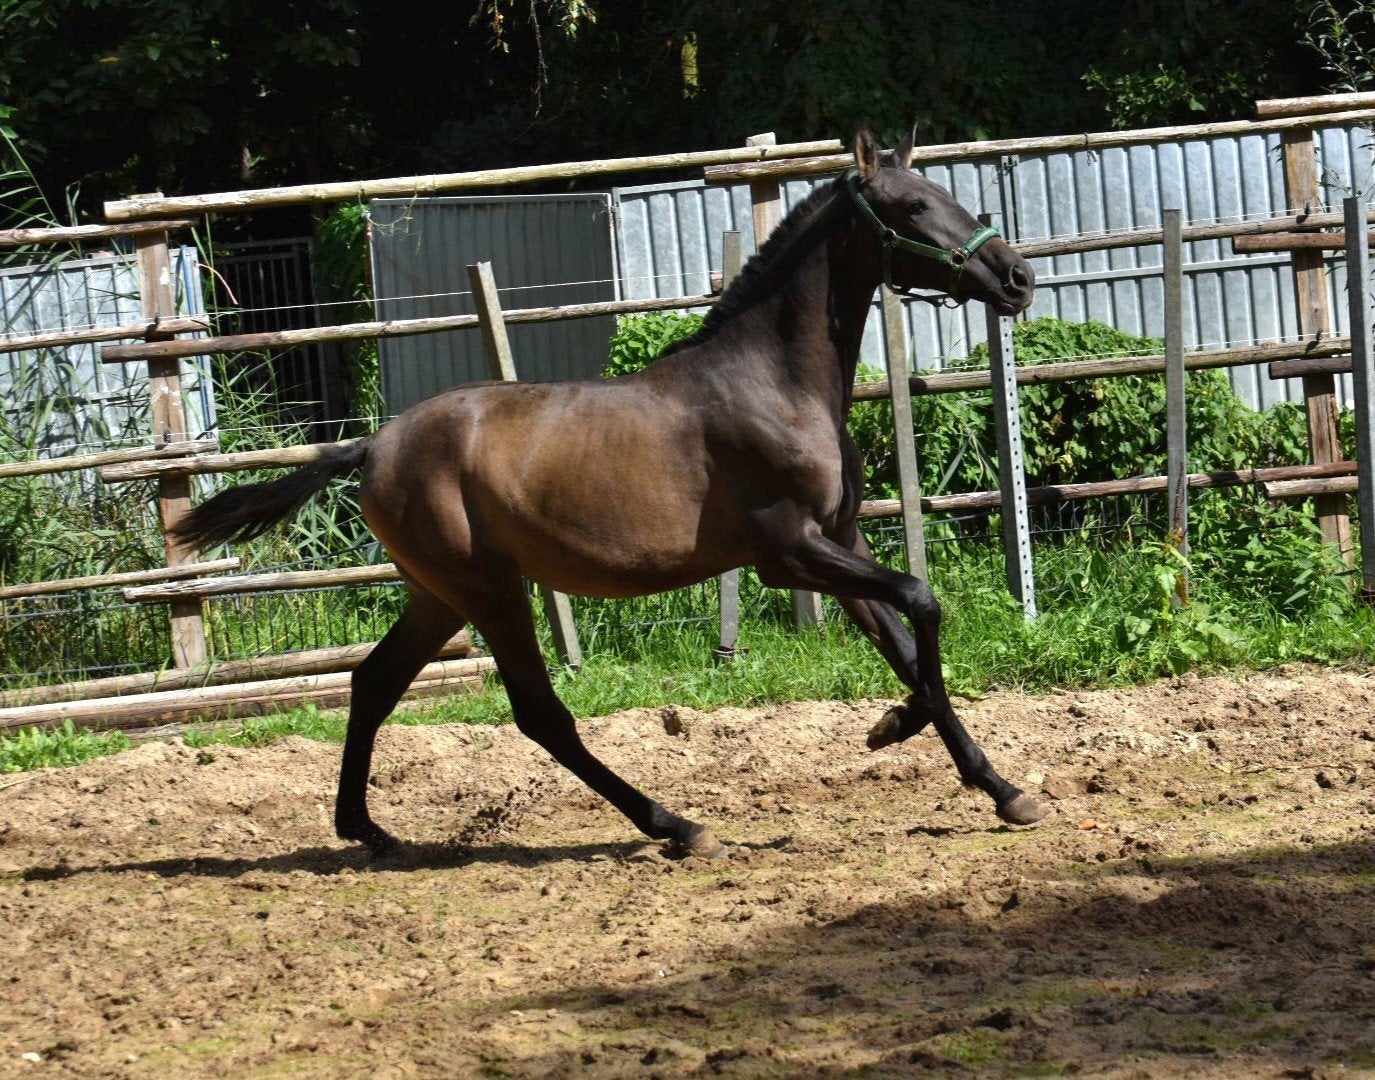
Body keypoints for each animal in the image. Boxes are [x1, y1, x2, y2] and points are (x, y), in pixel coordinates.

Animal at [174, 127, 1044, 861]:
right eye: (911, 206)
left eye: (944, 192)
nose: (1016, 276)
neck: (773, 384)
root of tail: (372, 447)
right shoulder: (787, 552)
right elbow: (922, 604)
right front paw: (894, 729)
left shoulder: (840, 540)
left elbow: (904, 648)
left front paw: (995, 786)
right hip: (490, 592)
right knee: (538, 715)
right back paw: (675, 826)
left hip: (439, 597)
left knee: (372, 683)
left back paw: (366, 829)